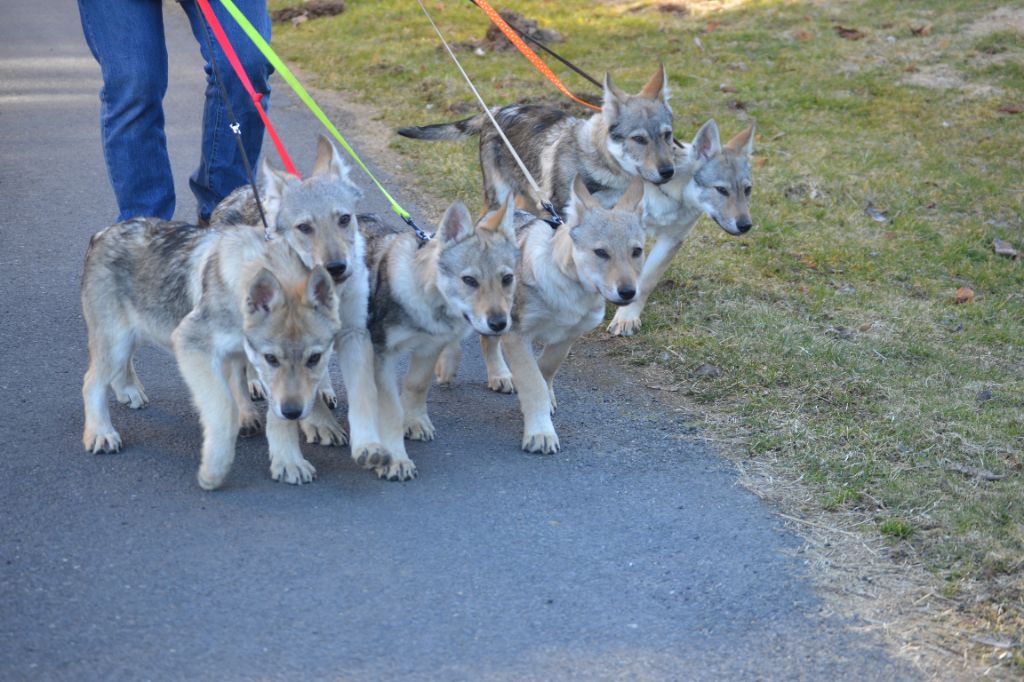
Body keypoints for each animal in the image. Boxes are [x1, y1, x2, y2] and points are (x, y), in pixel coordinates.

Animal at [483, 176, 643, 450]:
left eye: (637, 252)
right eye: (601, 253)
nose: (628, 292)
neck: (570, 291)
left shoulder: (567, 337)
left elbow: (545, 369)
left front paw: (546, 399)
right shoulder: (516, 335)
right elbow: (533, 381)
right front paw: (541, 432)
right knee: (486, 341)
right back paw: (497, 375)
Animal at [602, 120, 757, 337]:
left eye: (747, 190)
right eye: (721, 190)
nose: (745, 225)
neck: (669, 196)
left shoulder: (671, 240)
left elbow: (645, 282)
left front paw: (627, 317)